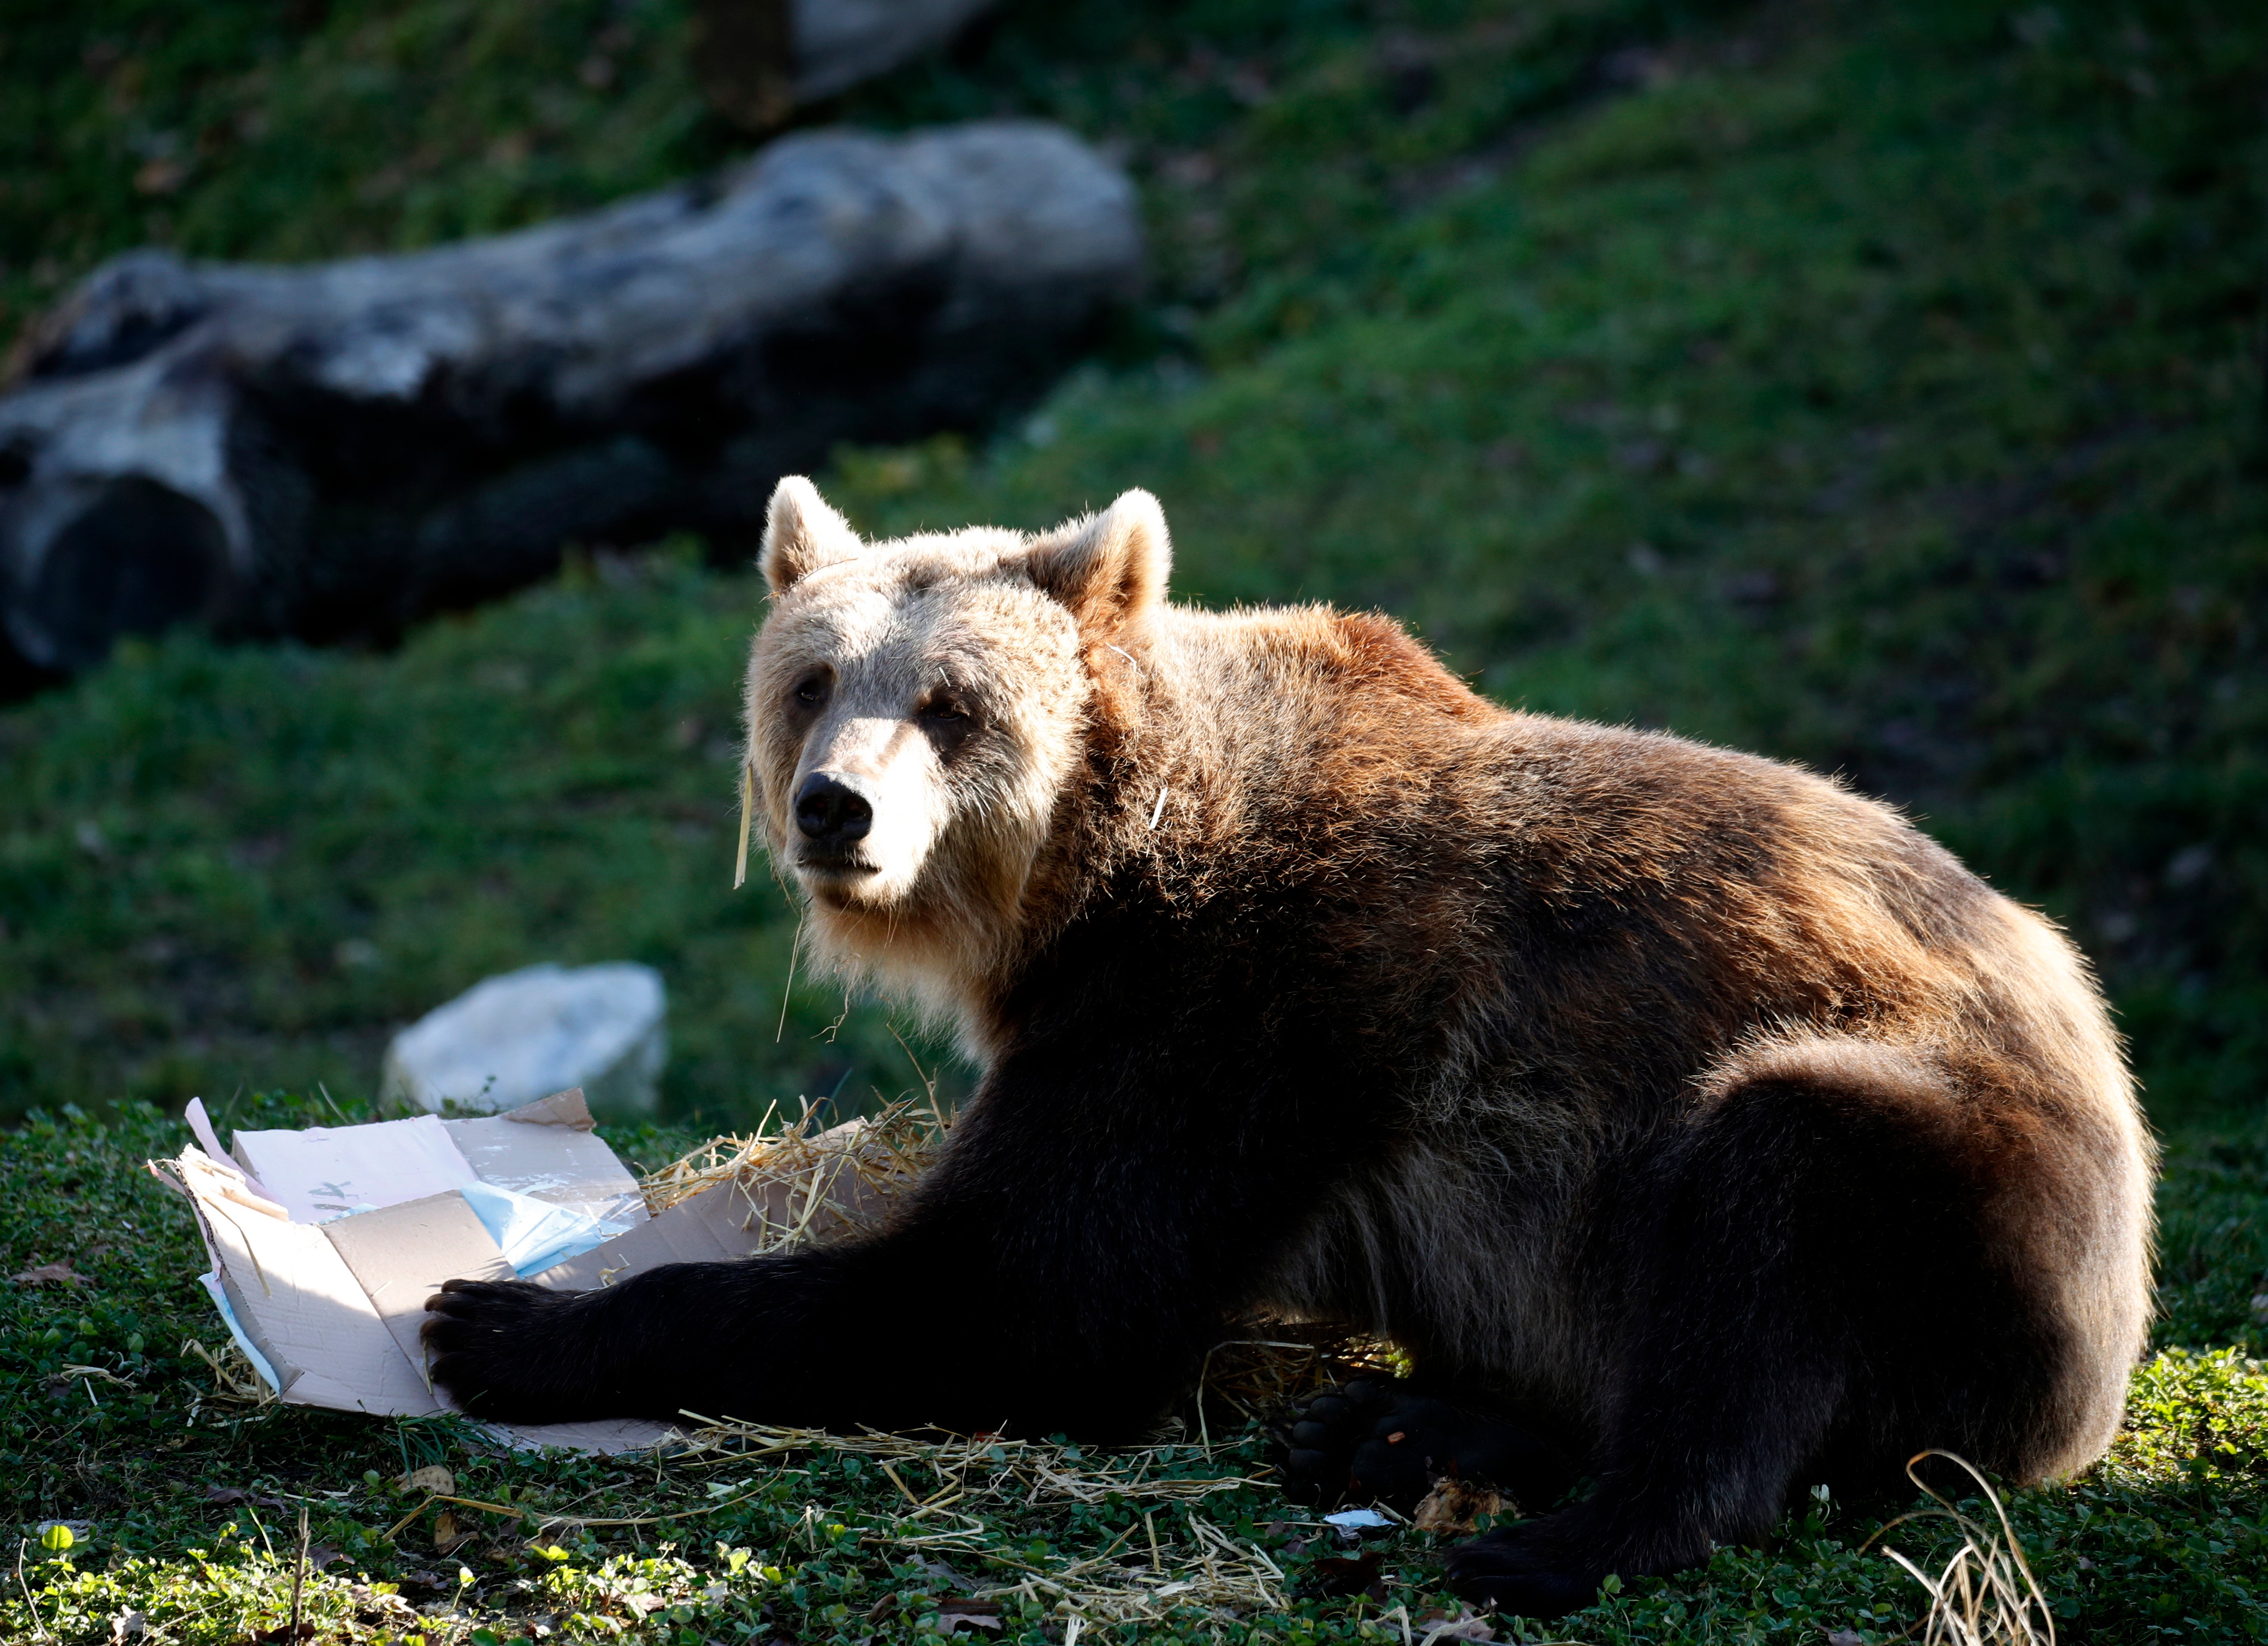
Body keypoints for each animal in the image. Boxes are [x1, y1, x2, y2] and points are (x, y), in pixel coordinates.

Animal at [421, 481, 2141, 1623]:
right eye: (811, 678)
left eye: (952, 701)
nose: (832, 808)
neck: (1096, 875)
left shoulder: (1241, 1000)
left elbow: (1032, 1289)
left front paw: (497, 1320)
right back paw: (1404, 1422)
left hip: (1967, 1186)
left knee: (1768, 1211)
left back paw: (1561, 1532)